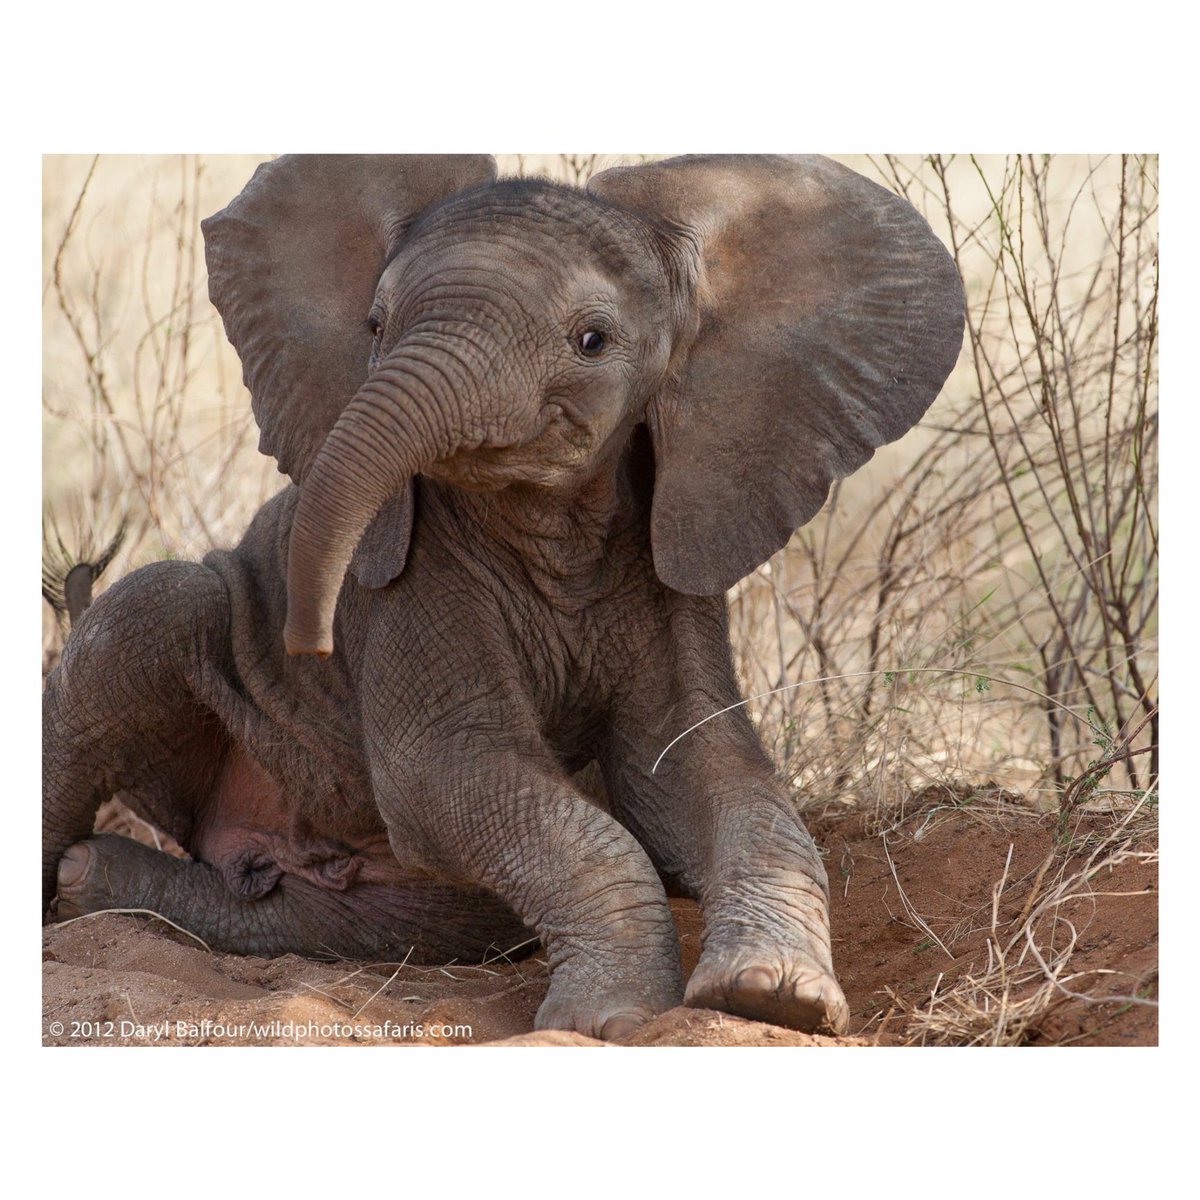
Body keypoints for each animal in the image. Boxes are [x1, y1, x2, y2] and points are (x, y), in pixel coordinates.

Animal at [42, 154, 964, 1040]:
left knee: (332, 918)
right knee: (154, 611)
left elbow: (699, 773)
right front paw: (611, 1019)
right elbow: (449, 772)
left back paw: (96, 878)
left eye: (592, 340)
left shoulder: (673, 557)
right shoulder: (410, 582)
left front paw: (774, 1000)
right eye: (374, 327)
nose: (308, 640)